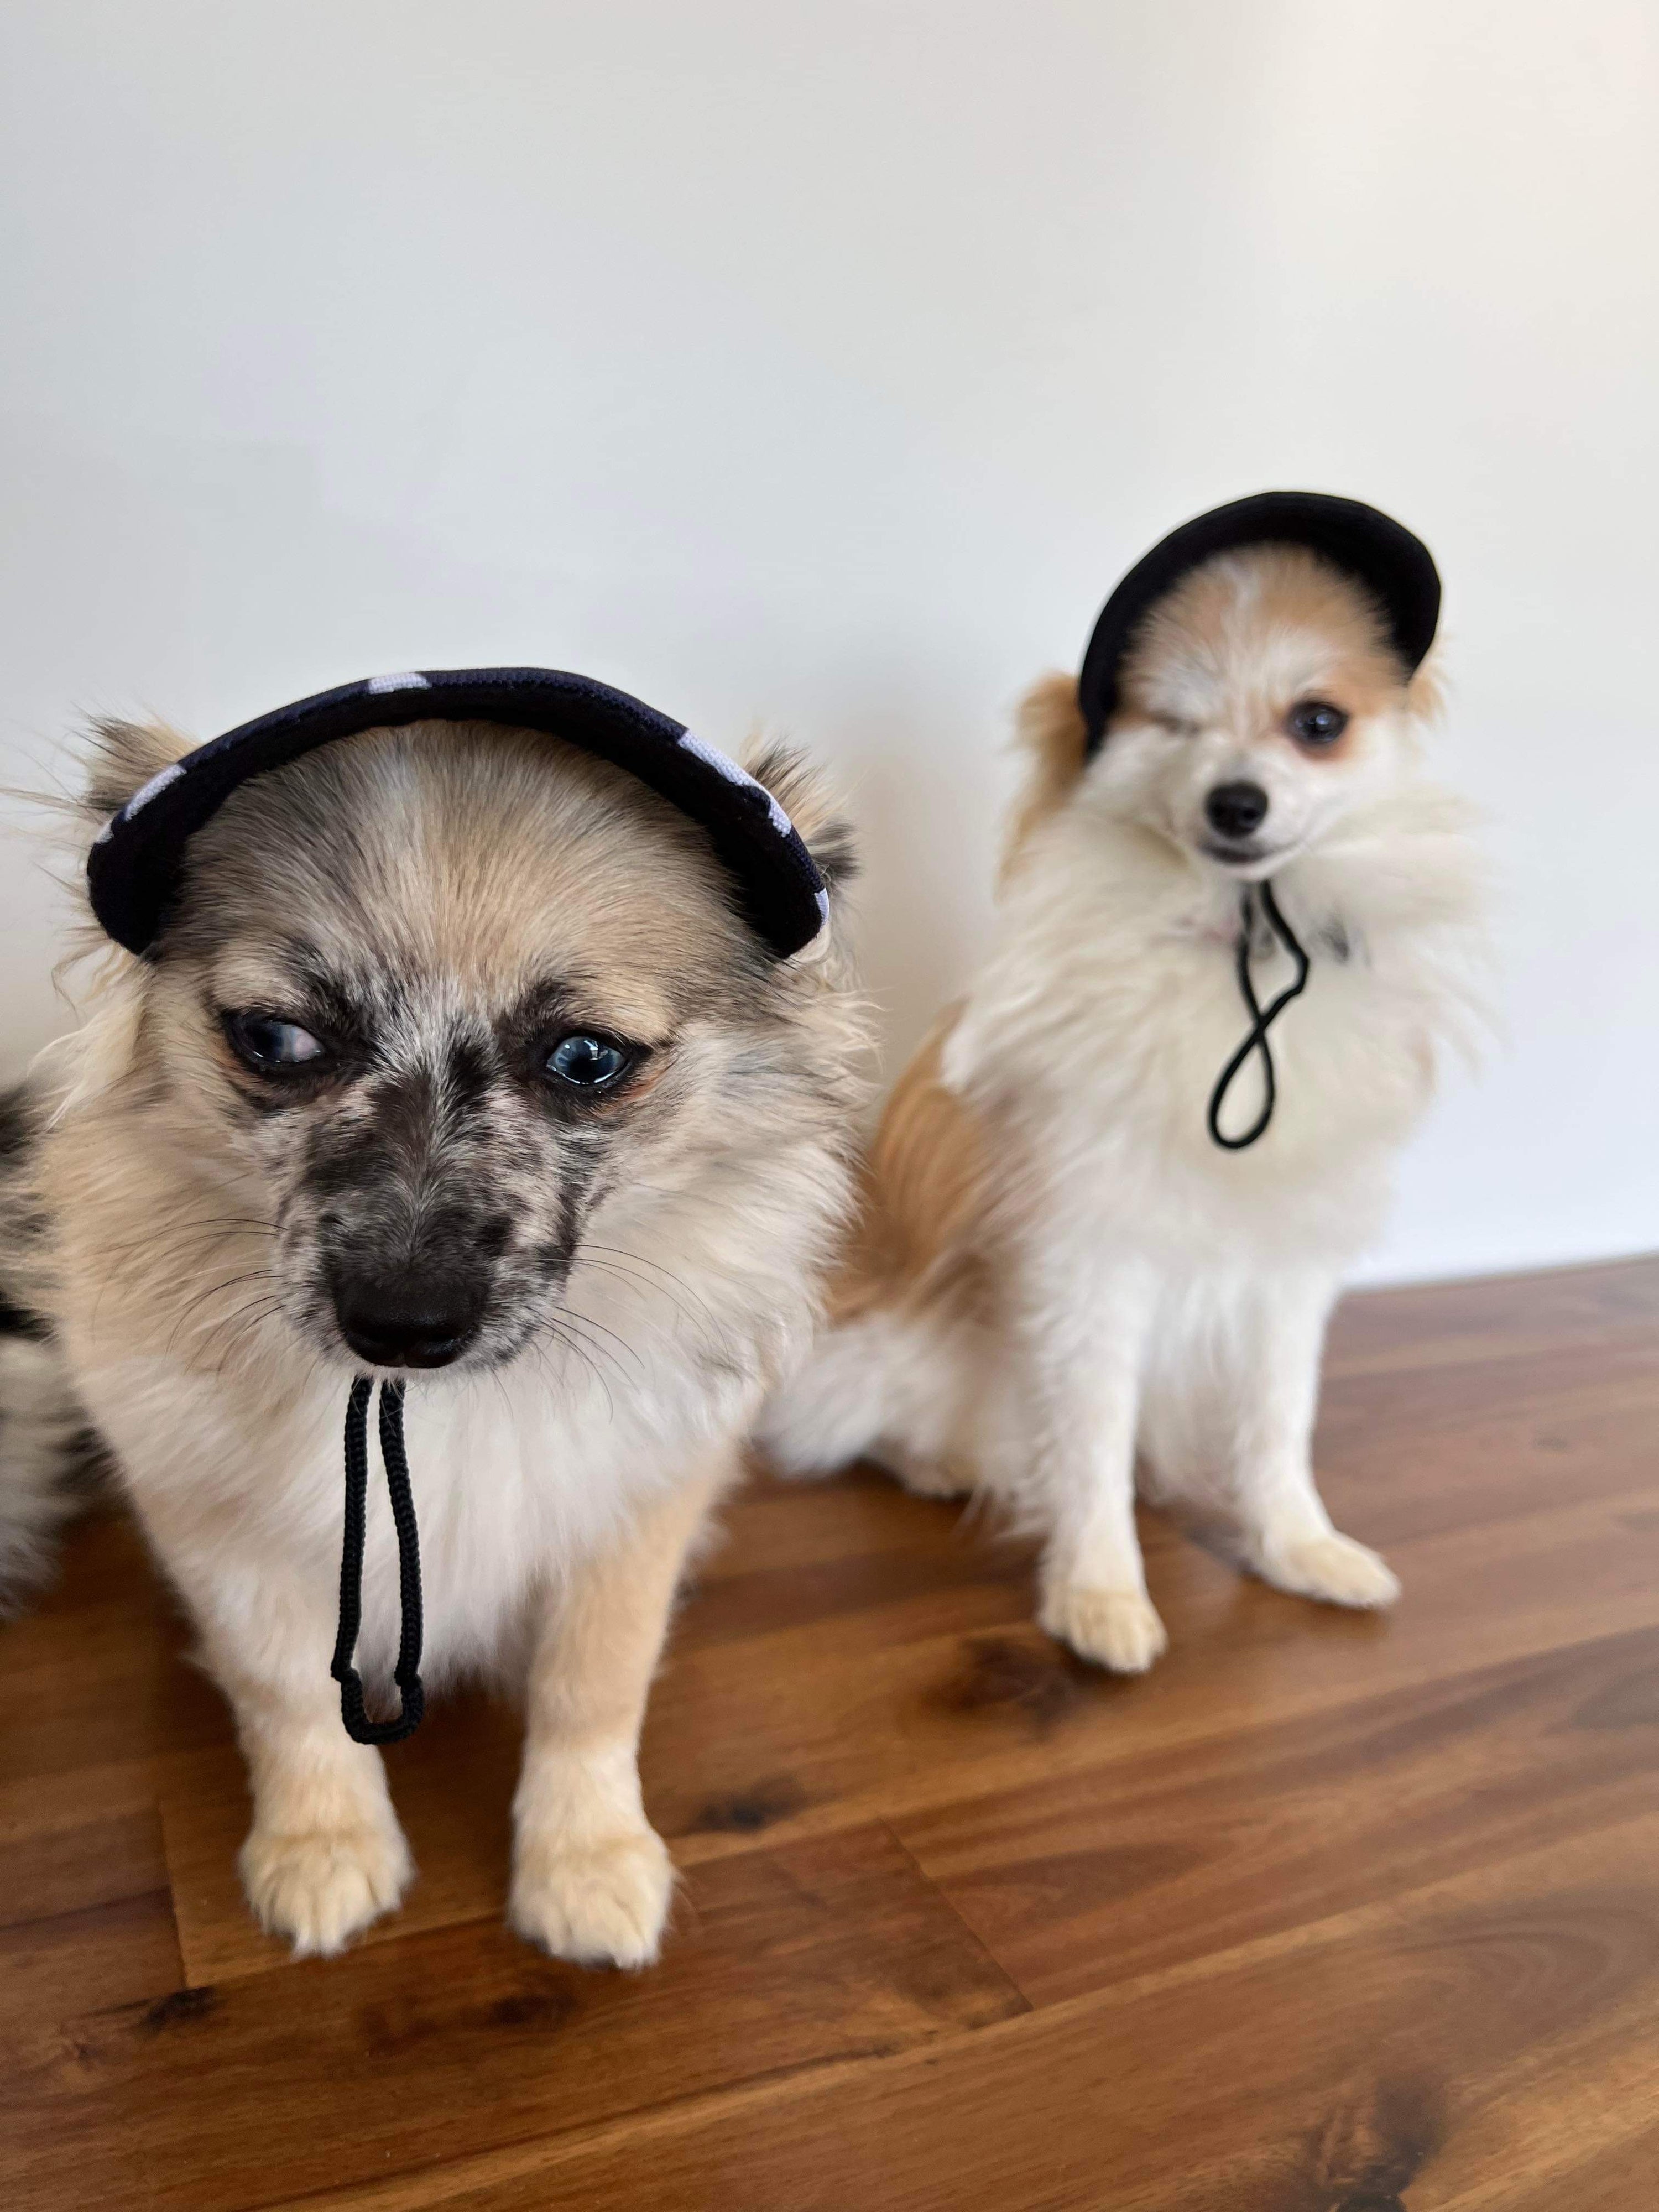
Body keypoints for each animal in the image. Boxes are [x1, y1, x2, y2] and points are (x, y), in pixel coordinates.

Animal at [3, 668, 872, 1955]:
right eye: (275, 1038)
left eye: (587, 1058)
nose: (403, 1324)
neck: (424, 1409)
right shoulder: (226, 1534)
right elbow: (286, 1694)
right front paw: (322, 1845)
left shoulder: (630, 1515)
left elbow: (593, 1689)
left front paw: (586, 1857)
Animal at [765, 493, 1495, 1672]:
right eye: (1176, 725)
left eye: (1319, 723)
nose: (1238, 801)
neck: (1238, 944)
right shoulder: (1090, 1263)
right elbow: (1092, 1443)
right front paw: (1100, 1592)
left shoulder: (1288, 1271)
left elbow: (1278, 1425)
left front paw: (1300, 1547)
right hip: (884, 1355)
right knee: (879, 1427)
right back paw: (943, 1463)